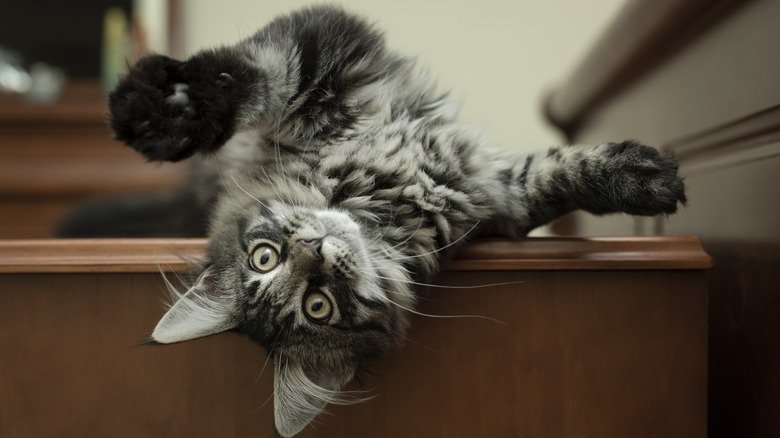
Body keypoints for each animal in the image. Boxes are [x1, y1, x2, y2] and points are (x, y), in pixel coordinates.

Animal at [100, 5, 684, 436]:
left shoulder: (318, 56)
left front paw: (159, 113)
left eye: (262, 257)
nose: (314, 250)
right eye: (318, 306)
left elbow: (247, 76)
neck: (370, 194)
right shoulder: (495, 194)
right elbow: (549, 173)